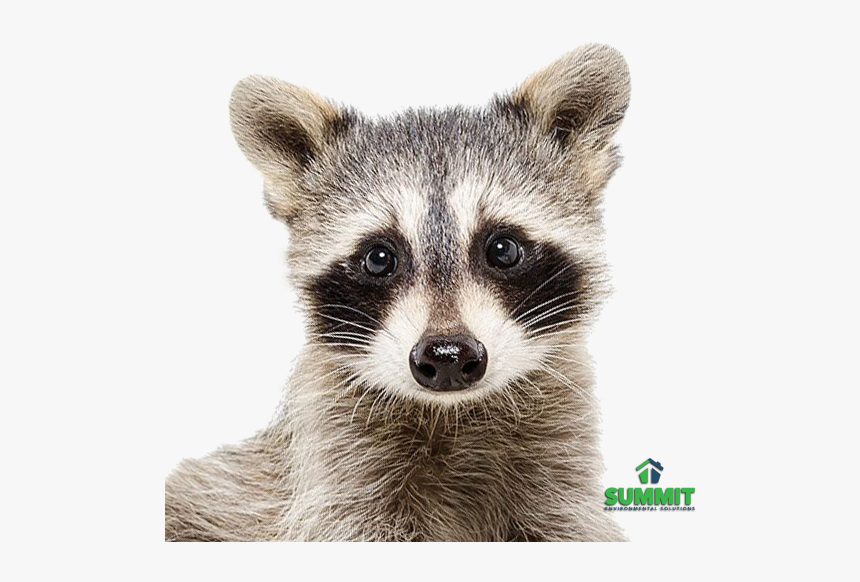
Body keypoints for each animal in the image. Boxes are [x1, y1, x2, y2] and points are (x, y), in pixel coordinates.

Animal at [165, 44, 630, 542]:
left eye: (503, 249)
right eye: (379, 258)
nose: (447, 356)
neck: (453, 413)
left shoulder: (556, 460)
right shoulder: (340, 468)